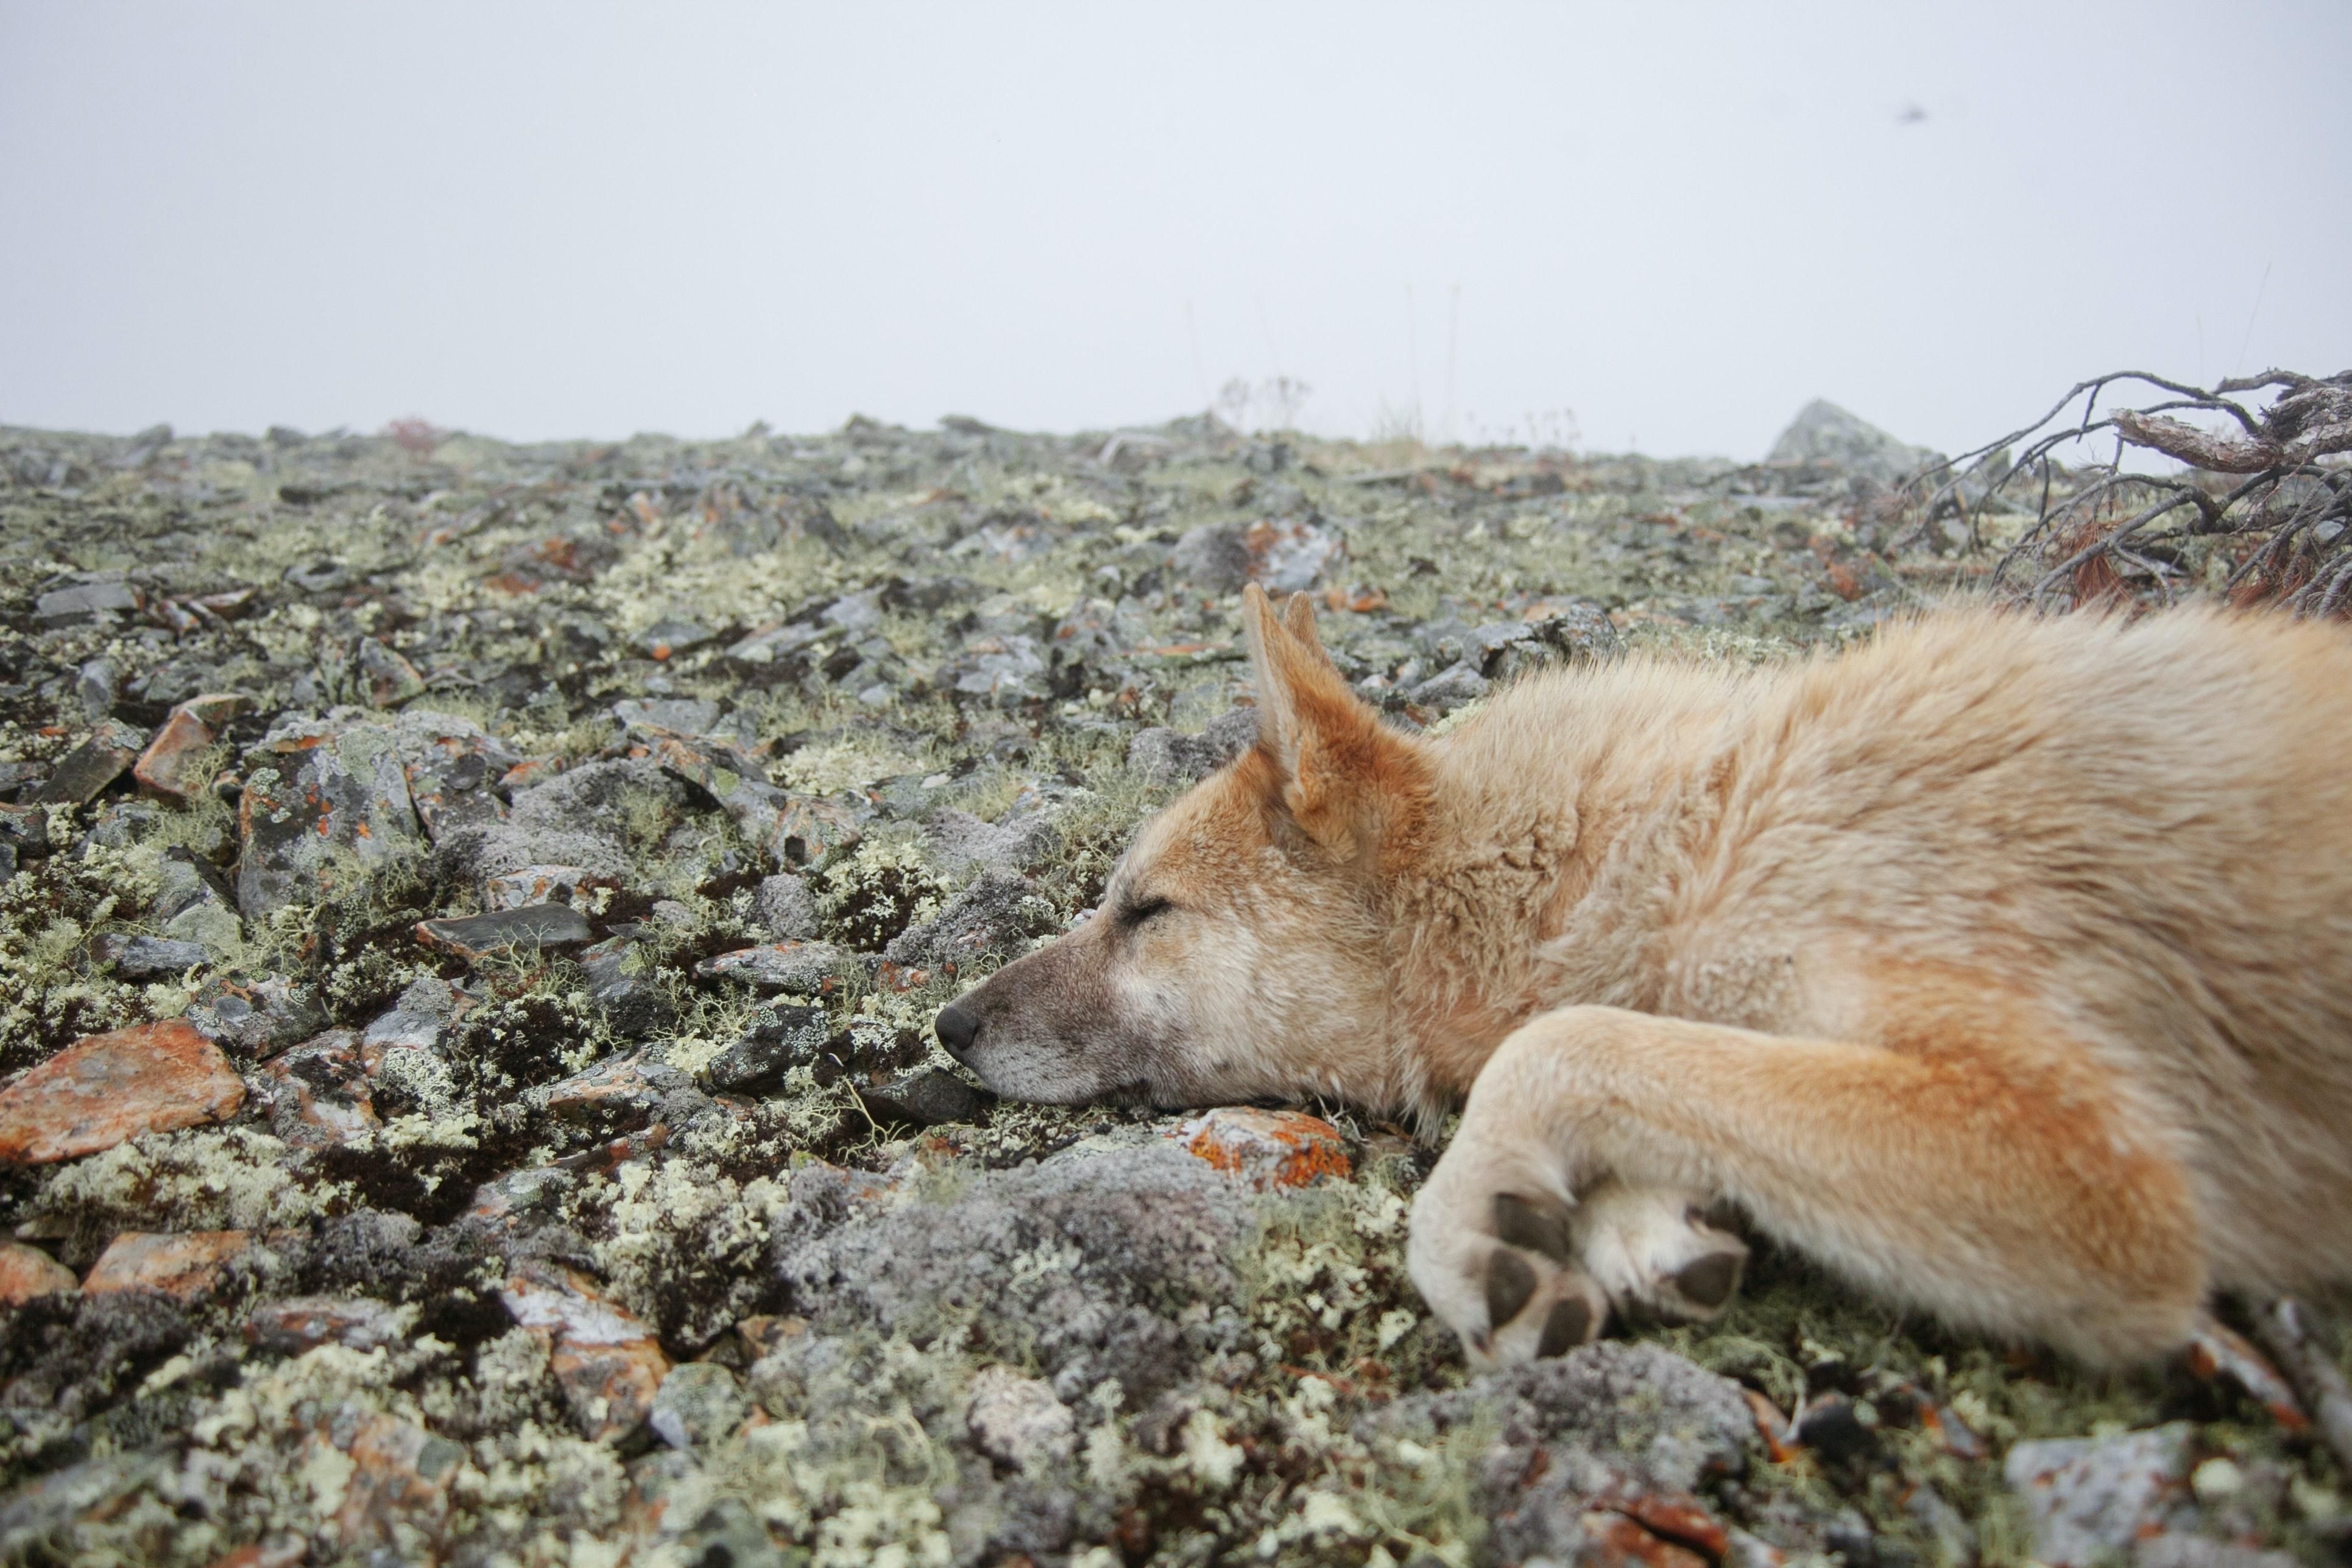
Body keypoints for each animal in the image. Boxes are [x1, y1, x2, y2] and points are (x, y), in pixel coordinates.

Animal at [936, 583, 2352, 1363]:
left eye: (1145, 909)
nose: (946, 1026)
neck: (1675, 846)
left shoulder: (2097, 1172)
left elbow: (1563, 1041)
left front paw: (1475, 1226)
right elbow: (1635, 1072)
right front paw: (1635, 1221)